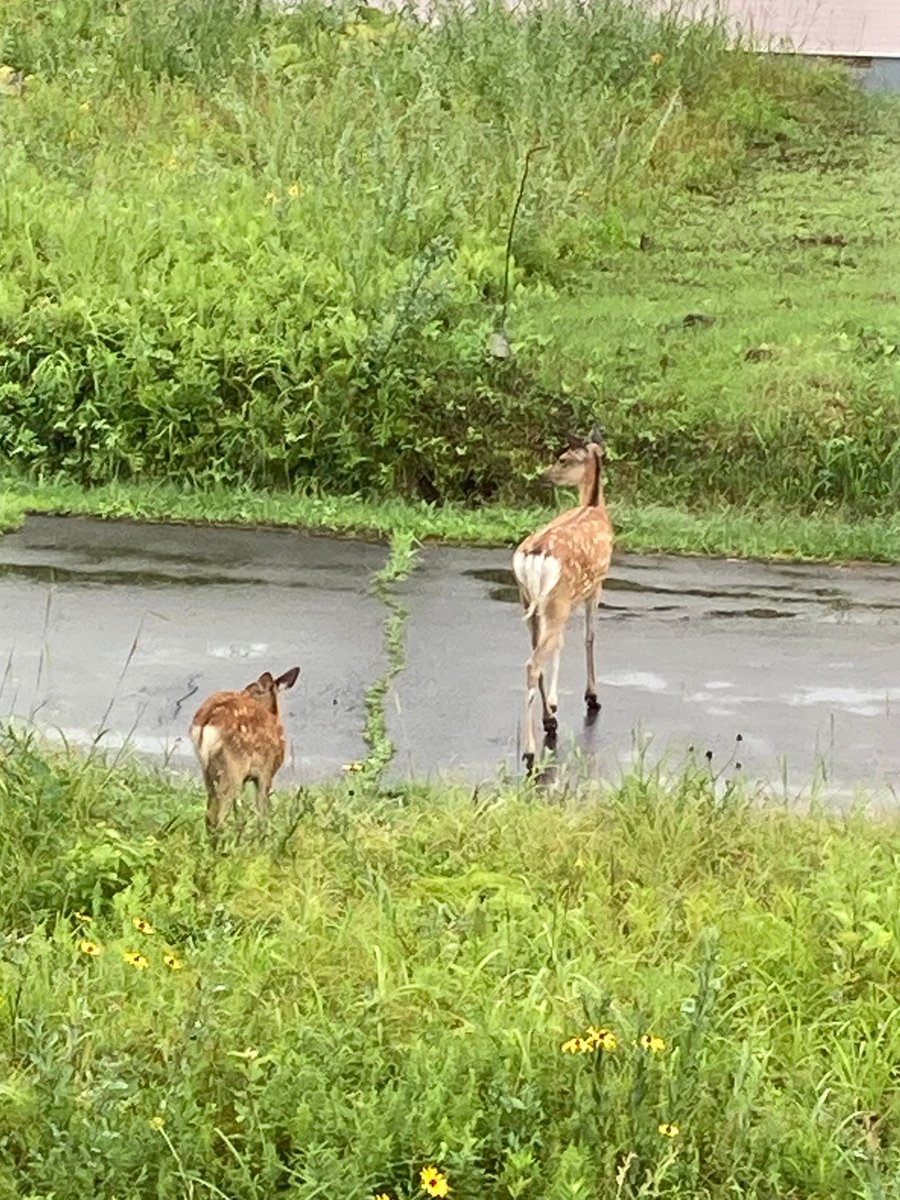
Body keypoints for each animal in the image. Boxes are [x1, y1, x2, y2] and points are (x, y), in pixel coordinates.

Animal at [189, 666, 300, 836]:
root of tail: (208, 720)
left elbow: (239, 811)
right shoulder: (266, 772)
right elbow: (262, 810)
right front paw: (262, 837)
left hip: (208, 770)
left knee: (210, 814)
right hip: (233, 765)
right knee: (219, 815)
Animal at [512, 426, 614, 772]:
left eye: (563, 459)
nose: (545, 475)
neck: (594, 505)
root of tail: (532, 555)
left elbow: (561, 647)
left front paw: (556, 705)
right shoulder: (596, 585)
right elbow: (589, 636)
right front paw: (592, 696)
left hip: (529, 601)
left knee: (537, 654)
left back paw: (549, 721)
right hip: (556, 600)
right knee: (533, 662)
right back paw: (530, 752)